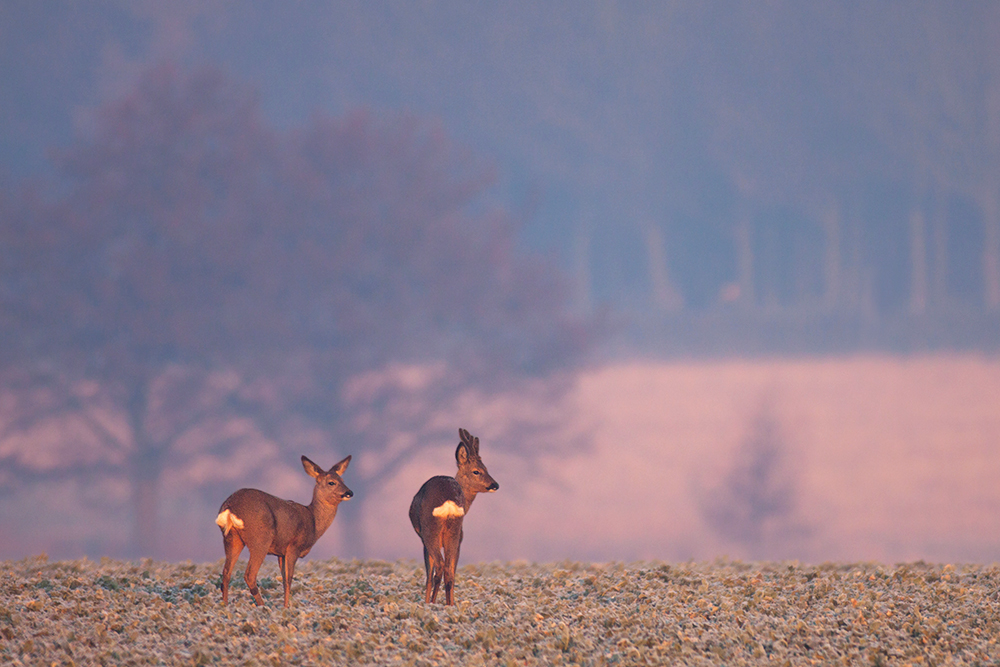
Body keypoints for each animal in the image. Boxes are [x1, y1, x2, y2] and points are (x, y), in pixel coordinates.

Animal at [215, 456, 352, 608]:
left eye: (343, 480)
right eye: (331, 482)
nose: (349, 493)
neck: (313, 522)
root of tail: (230, 506)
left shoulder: (280, 553)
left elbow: (283, 579)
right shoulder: (293, 547)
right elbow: (289, 579)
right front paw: (286, 607)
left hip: (231, 538)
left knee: (226, 573)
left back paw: (225, 605)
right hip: (260, 539)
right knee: (249, 575)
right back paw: (263, 606)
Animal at [408, 428, 498, 604]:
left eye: (485, 469)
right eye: (477, 470)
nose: (495, 485)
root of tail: (449, 501)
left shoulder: (423, 538)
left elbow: (429, 575)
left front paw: (427, 602)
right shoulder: (461, 539)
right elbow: (453, 572)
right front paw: (452, 602)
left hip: (430, 530)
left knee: (440, 567)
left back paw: (432, 603)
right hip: (454, 530)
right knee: (449, 571)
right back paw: (449, 605)